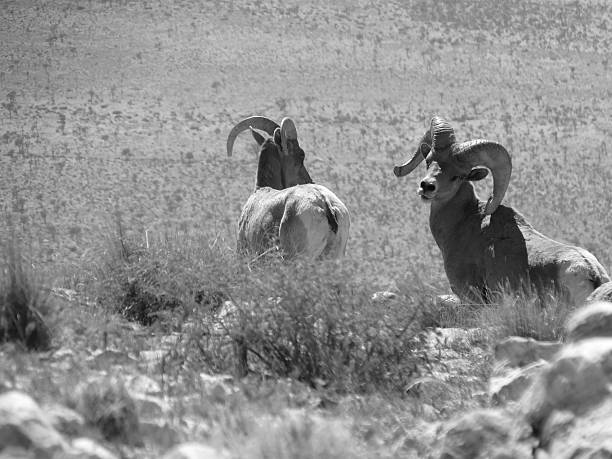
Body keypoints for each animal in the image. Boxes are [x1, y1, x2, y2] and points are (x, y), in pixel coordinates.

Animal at [394, 117, 608, 308]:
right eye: (429, 162)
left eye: (458, 176)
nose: (427, 187)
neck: (464, 223)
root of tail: (592, 274)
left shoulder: (471, 297)